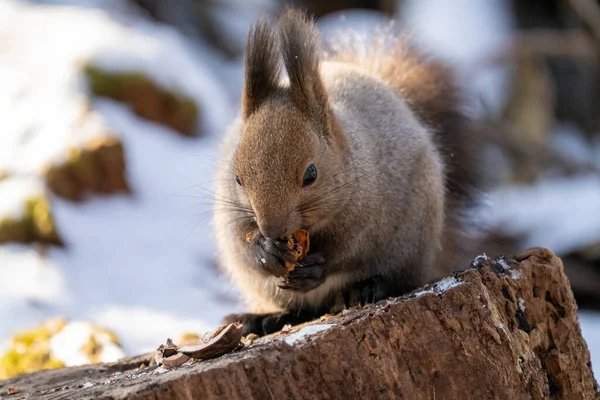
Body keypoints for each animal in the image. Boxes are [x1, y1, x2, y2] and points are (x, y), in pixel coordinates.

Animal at [213, 8, 480, 334]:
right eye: (237, 178)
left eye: (311, 174)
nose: (272, 230)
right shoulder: (231, 210)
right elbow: (240, 242)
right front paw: (264, 251)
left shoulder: (370, 208)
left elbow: (349, 247)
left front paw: (319, 266)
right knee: (298, 310)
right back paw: (260, 319)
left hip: (411, 243)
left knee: (398, 279)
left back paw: (364, 289)